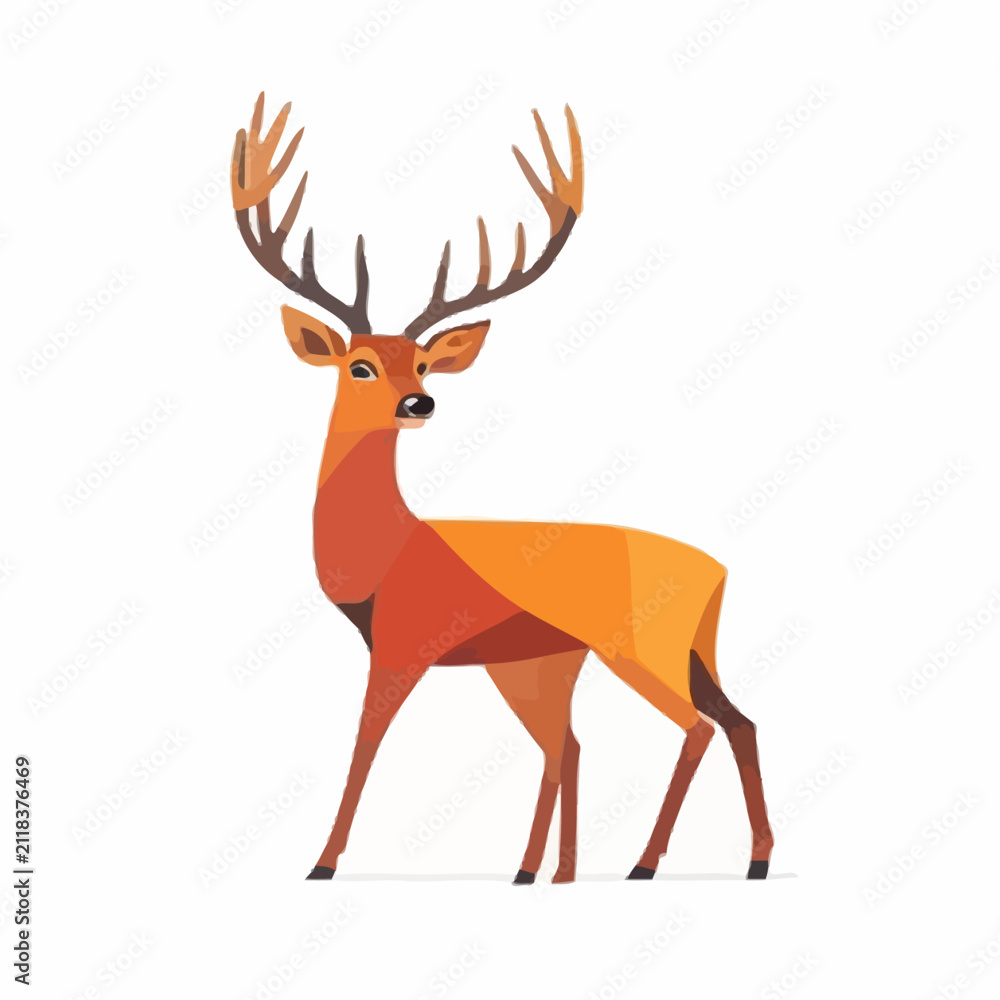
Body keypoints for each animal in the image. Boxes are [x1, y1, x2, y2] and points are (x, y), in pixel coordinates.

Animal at [230, 93, 773, 884]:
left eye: (424, 363)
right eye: (361, 364)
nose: (419, 403)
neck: (385, 553)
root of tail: (719, 573)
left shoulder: (403, 643)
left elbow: (364, 745)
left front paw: (322, 864)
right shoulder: (524, 661)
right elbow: (556, 748)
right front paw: (542, 867)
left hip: (641, 648)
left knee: (694, 727)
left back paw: (641, 865)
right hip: (666, 653)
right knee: (725, 721)